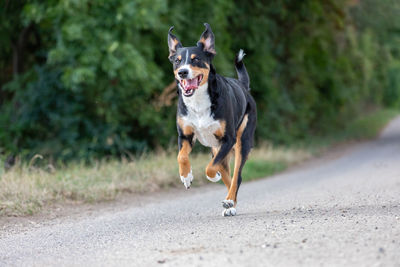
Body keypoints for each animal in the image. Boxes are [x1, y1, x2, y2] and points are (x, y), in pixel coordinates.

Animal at [166, 22, 256, 217]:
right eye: (177, 61)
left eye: (195, 60)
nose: (182, 72)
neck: (198, 102)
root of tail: (243, 86)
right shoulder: (185, 136)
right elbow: (181, 157)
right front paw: (186, 177)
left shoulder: (228, 139)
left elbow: (210, 168)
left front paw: (213, 177)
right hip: (216, 148)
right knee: (228, 176)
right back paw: (230, 204)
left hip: (241, 142)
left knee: (237, 176)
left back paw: (230, 201)